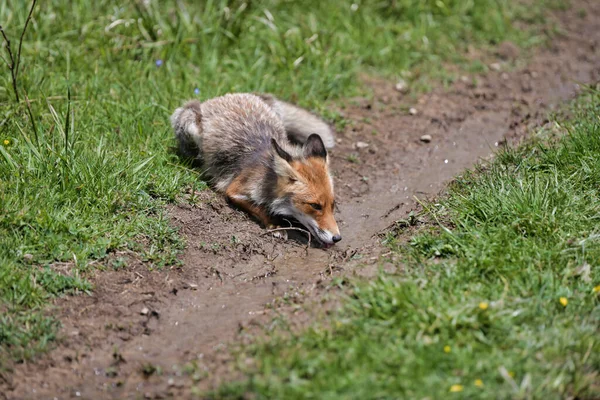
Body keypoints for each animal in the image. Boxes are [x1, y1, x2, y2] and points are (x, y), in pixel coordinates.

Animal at [171, 93, 342, 247]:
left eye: (332, 204)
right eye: (315, 206)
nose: (337, 238)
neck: (267, 176)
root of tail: (228, 95)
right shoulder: (234, 189)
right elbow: (259, 208)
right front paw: (275, 225)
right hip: (189, 122)